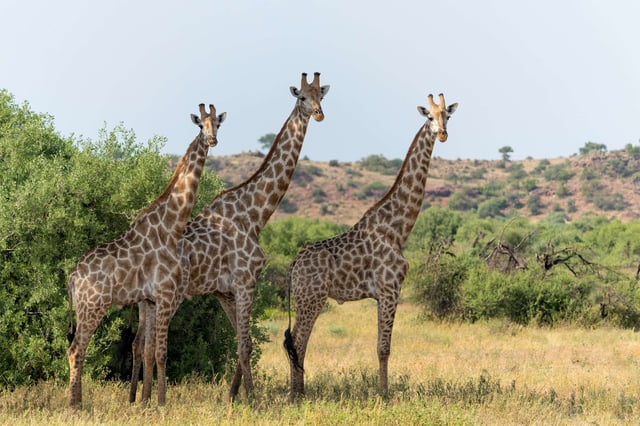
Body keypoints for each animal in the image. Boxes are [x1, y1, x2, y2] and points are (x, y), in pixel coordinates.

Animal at [66, 103, 226, 406]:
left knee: (76, 348)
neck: (172, 226)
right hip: (93, 305)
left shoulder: (151, 300)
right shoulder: (164, 295)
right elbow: (161, 352)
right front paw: (161, 402)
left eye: (219, 124)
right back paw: (73, 404)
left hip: (84, 308)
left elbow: (150, 350)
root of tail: (73, 278)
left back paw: (78, 401)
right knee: (76, 350)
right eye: (201, 125)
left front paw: (147, 400)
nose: (212, 140)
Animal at [129, 72, 330, 402]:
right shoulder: (246, 281)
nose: (318, 114)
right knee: (149, 345)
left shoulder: (224, 291)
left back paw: (139, 399)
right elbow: (246, 344)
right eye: (301, 96)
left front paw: (233, 396)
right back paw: (150, 400)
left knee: (139, 344)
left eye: (321, 96)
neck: (255, 213)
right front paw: (253, 399)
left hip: (146, 299)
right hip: (166, 296)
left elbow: (240, 342)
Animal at [283, 93, 458, 400]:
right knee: (298, 341)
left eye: (447, 115)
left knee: (295, 343)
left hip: (304, 298)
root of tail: (293, 265)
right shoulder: (390, 290)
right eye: (429, 117)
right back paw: (296, 395)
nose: (443, 133)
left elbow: (381, 346)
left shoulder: (383, 294)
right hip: (311, 298)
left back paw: (299, 392)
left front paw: (382, 391)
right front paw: (384, 395)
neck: (398, 229)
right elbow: (383, 348)